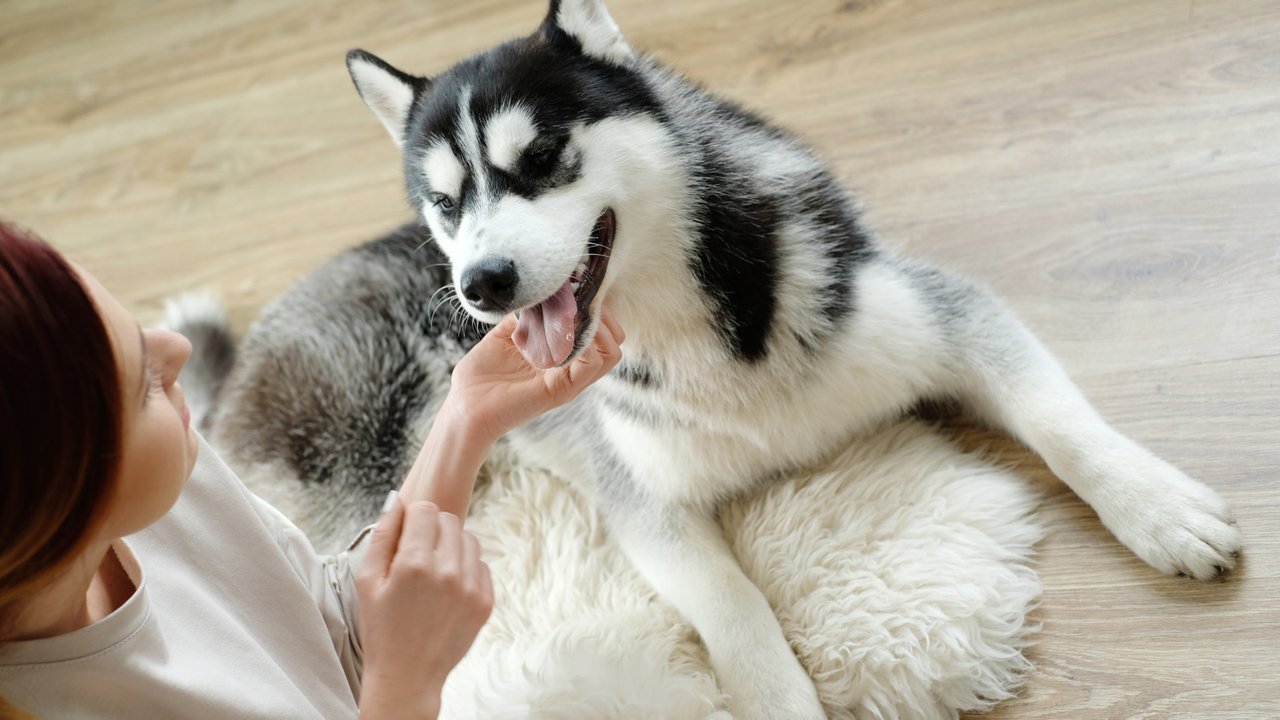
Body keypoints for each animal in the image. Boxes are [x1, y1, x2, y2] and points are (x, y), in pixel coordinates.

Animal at [189, 2, 1239, 712]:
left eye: (542, 158)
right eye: (445, 202)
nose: (481, 284)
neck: (695, 321)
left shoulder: (938, 316)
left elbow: (1063, 424)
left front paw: (1159, 509)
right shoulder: (643, 500)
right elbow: (732, 602)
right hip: (363, 497)